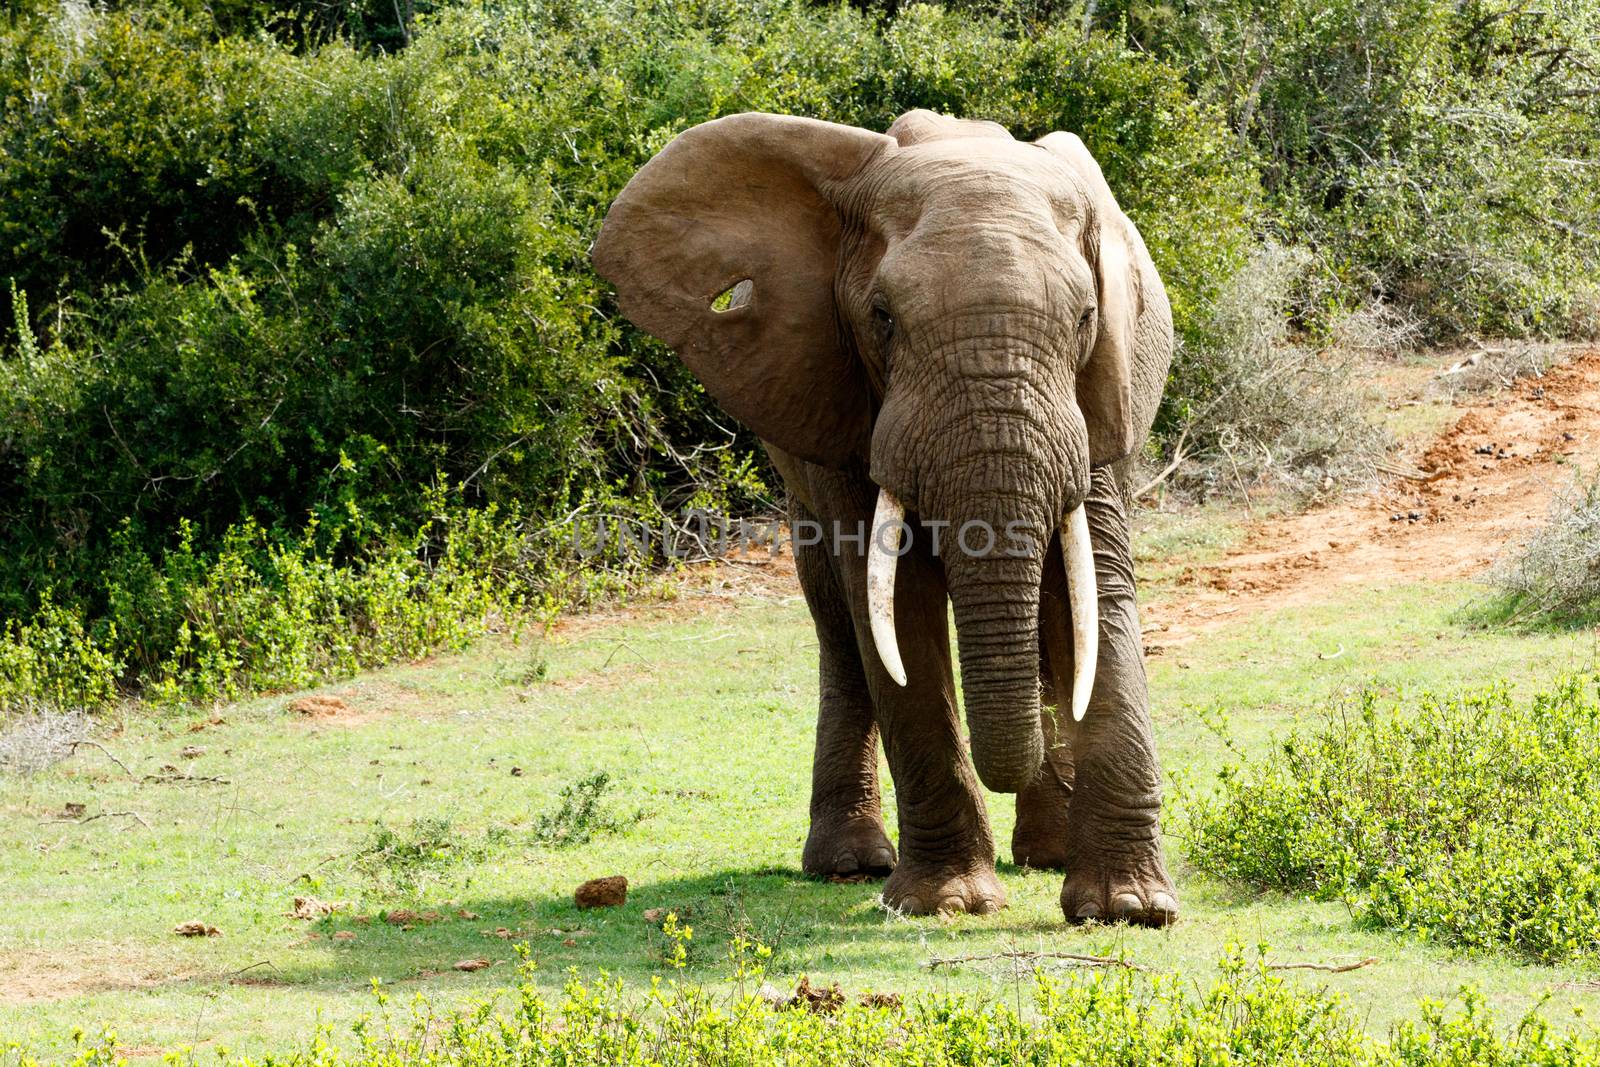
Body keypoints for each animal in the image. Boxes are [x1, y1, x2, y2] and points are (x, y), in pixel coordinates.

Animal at [595, 110, 1184, 927]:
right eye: (883, 320)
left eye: (1087, 318)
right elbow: (897, 607)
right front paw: (949, 902)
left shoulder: (1100, 401)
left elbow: (1092, 589)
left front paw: (1128, 908)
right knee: (840, 621)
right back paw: (851, 863)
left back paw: (1046, 851)